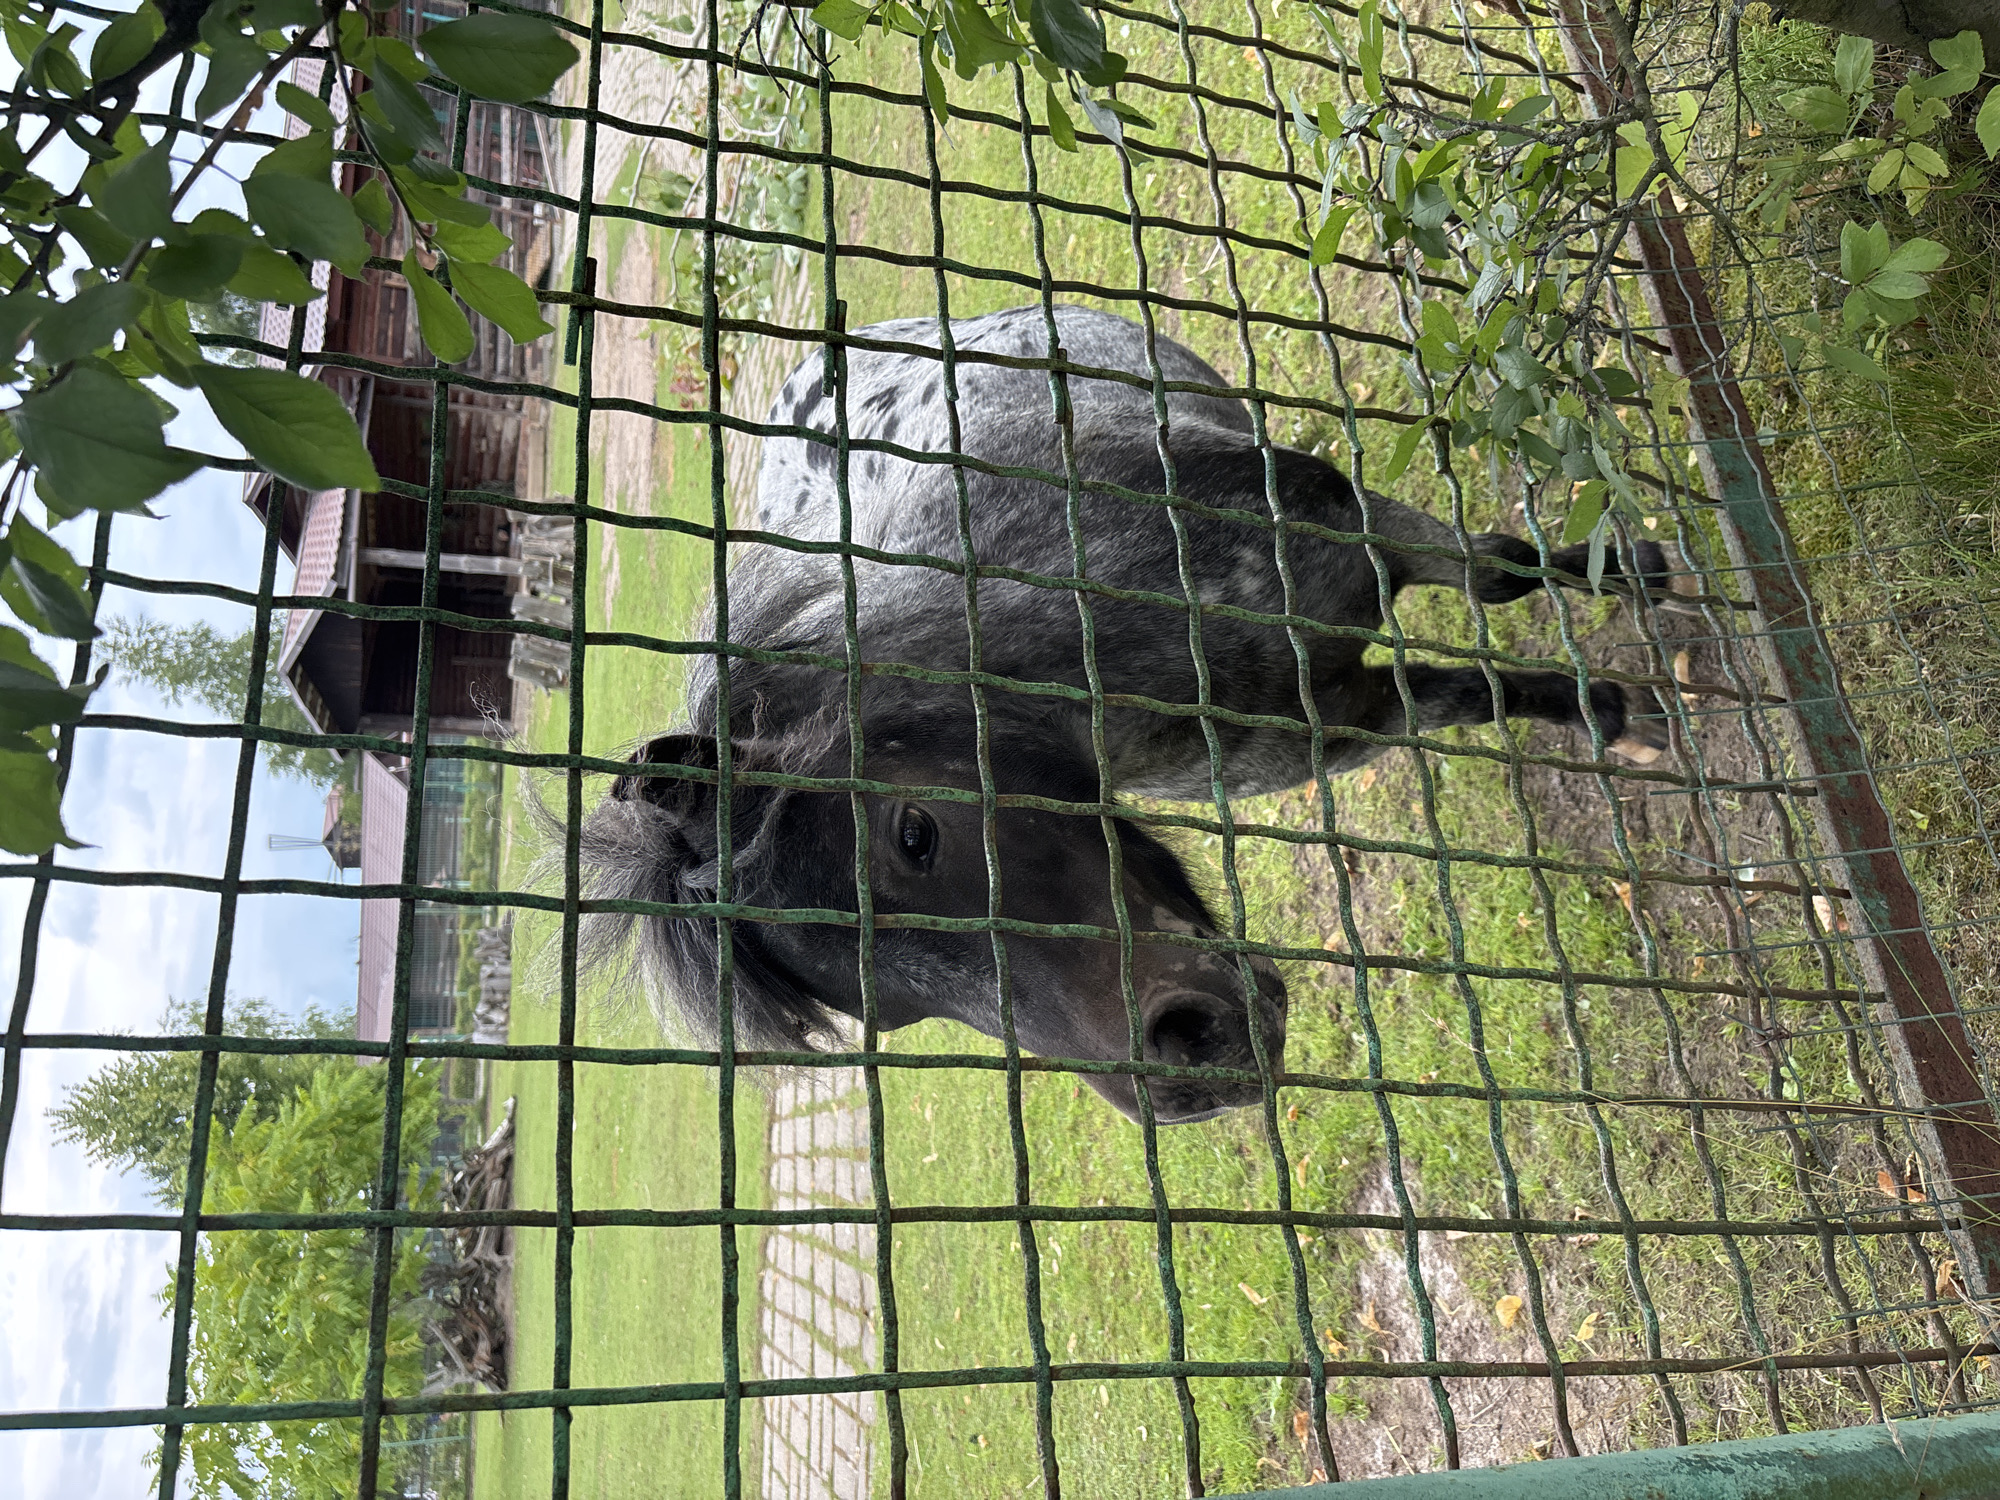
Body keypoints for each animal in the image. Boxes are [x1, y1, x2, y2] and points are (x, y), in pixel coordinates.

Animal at [574, 305, 1666, 1123]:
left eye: (914, 834)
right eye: (888, 1014)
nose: (1194, 1069)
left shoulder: (1352, 530)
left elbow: (1494, 576)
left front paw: (1625, 617)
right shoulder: (1348, 713)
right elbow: (1479, 690)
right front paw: (1610, 706)